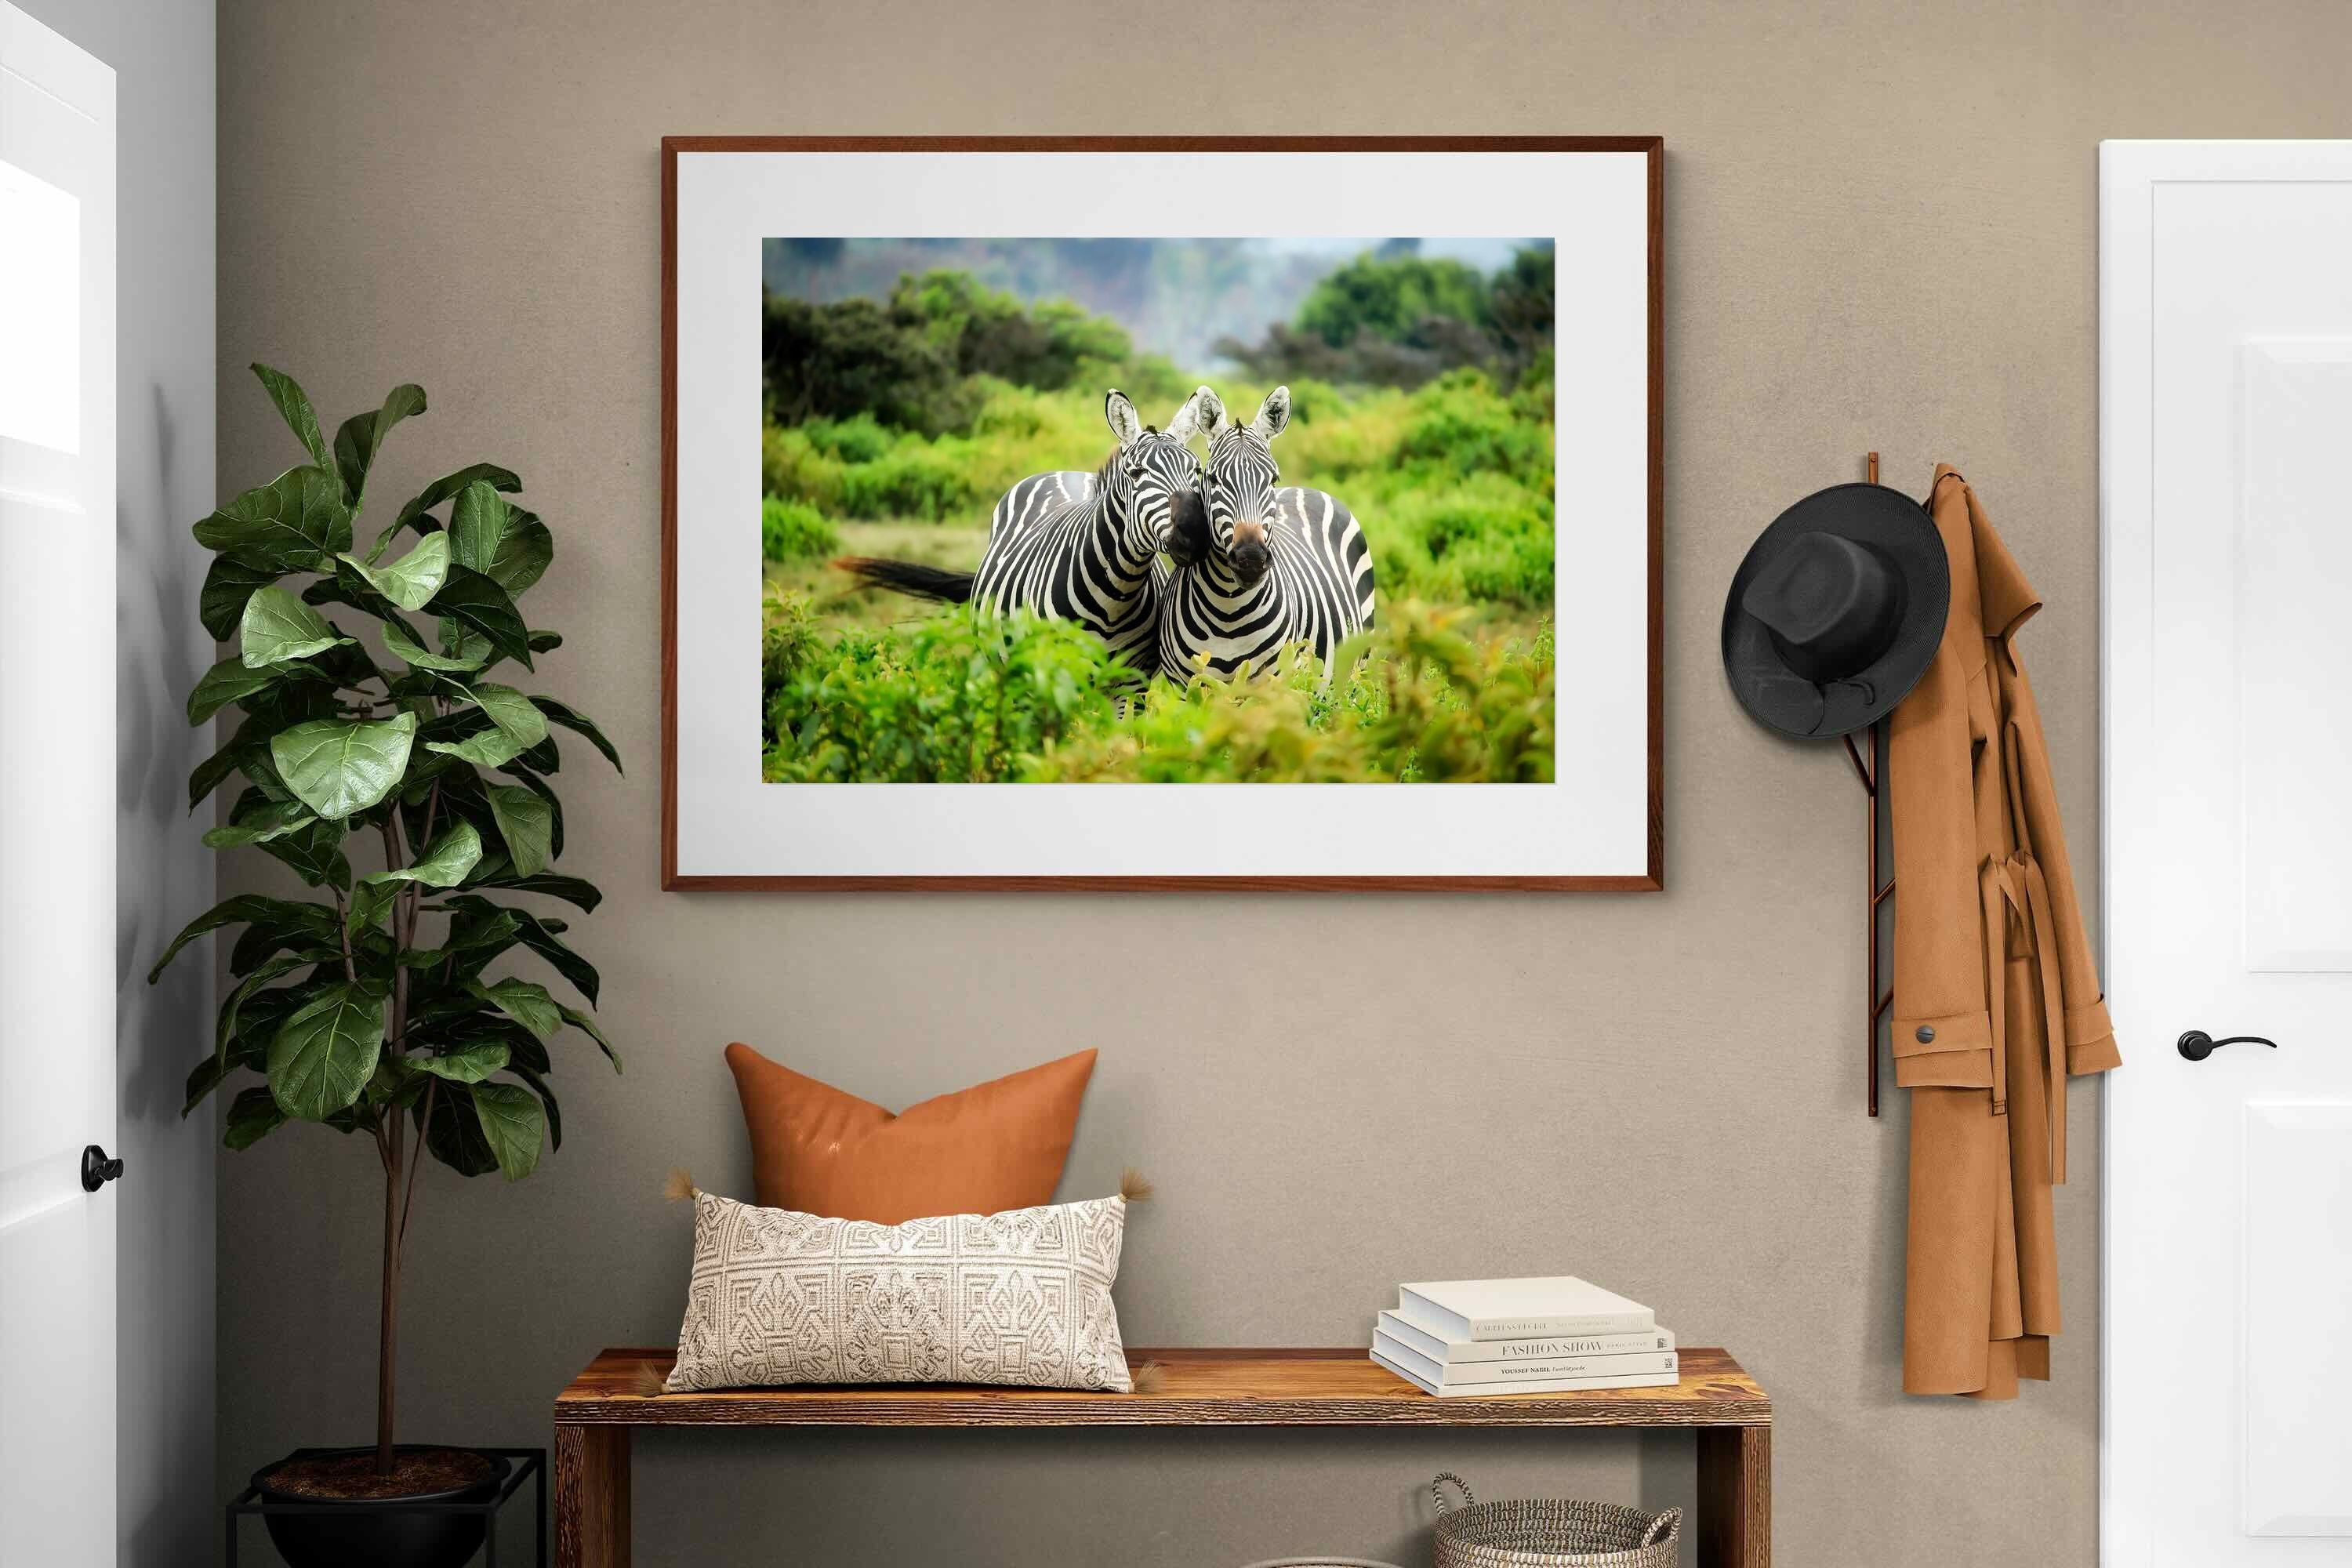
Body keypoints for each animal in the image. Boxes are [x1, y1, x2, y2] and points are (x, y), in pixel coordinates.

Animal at [835, 388, 1215, 682]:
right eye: (1136, 473)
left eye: (1196, 471)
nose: (1195, 533)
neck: (1116, 595)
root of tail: (1063, 472)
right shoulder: (1055, 673)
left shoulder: (1130, 682)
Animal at [1155, 386, 1376, 682]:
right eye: (1212, 479)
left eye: (1273, 479)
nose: (1251, 560)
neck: (1228, 611)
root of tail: (1306, 489)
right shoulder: (1187, 685)